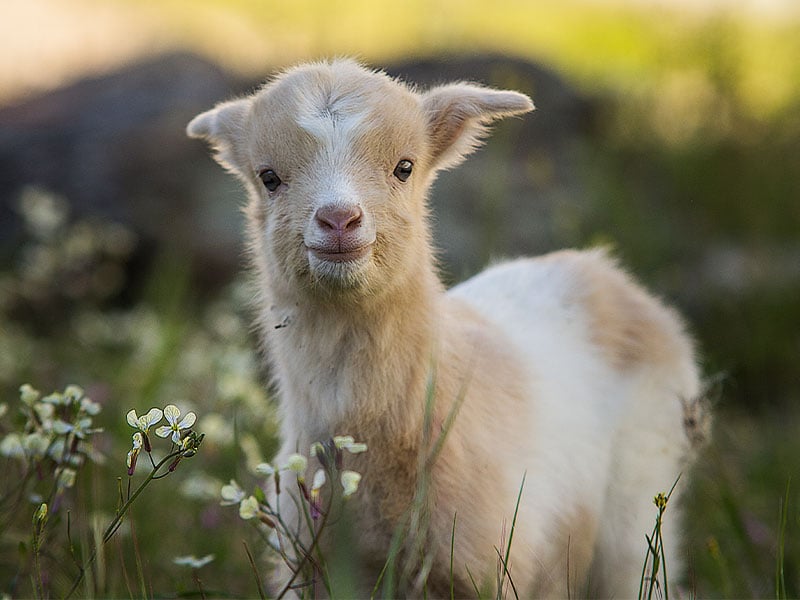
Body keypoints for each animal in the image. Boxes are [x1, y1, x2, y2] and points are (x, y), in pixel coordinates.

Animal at [188, 58, 705, 597]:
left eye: (405, 167)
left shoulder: (487, 569)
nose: (338, 219)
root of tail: (601, 271)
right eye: (269, 177)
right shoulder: (310, 568)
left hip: (642, 495)